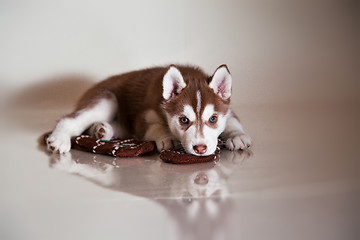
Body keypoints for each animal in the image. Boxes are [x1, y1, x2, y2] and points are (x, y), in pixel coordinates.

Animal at [47, 64, 250, 157]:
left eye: (213, 119)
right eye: (184, 120)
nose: (200, 148)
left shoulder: (228, 108)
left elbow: (232, 121)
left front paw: (237, 135)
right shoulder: (144, 116)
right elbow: (154, 127)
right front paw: (166, 137)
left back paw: (101, 130)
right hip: (107, 99)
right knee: (69, 119)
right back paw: (60, 139)